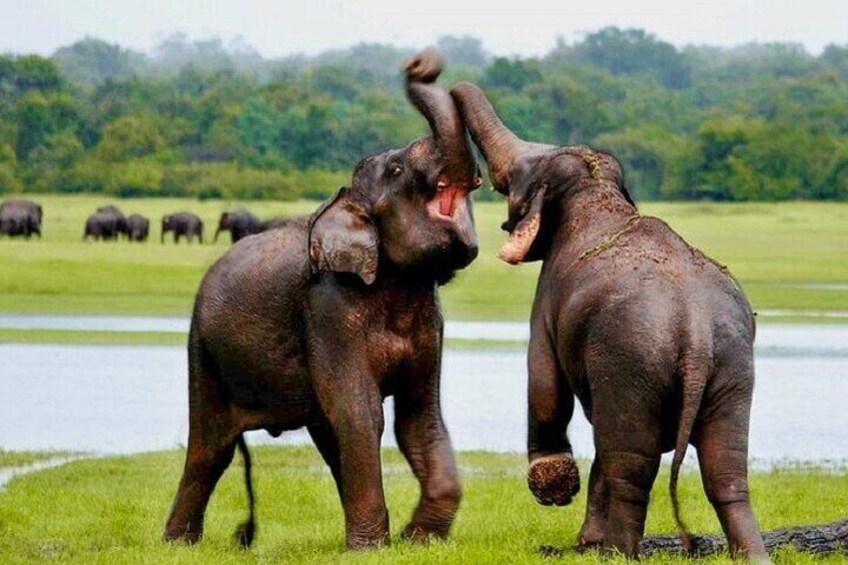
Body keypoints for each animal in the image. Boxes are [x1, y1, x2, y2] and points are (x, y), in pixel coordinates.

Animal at [164, 48, 484, 552]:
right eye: (396, 170)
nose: (420, 62)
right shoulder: (329, 309)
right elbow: (360, 411)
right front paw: (373, 550)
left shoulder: (430, 321)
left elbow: (420, 418)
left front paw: (417, 539)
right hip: (202, 349)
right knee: (210, 447)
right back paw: (178, 545)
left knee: (325, 437)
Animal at [454, 81, 772, 560]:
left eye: (515, 178)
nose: (419, 68)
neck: (597, 189)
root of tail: (695, 332)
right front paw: (584, 538)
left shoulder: (547, 297)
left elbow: (544, 382)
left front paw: (558, 494)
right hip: (733, 367)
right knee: (725, 469)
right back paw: (753, 556)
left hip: (631, 361)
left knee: (632, 465)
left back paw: (617, 553)